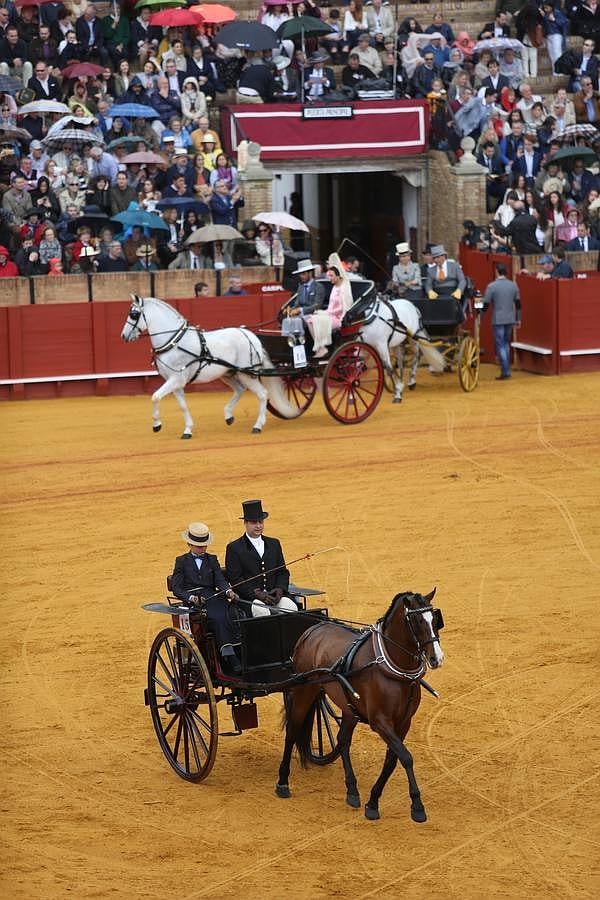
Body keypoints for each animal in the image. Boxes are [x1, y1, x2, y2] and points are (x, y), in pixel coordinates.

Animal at [120, 294, 298, 438]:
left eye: (134, 314)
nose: (123, 336)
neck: (173, 342)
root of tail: (249, 334)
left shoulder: (175, 379)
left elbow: (155, 396)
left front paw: (157, 425)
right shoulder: (176, 383)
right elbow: (183, 406)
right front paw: (187, 430)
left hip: (246, 374)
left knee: (262, 394)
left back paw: (257, 426)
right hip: (229, 374)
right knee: (240, 390)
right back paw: (228, 416)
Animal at [274, 592, 442, 824]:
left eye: (435, 620)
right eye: (416, 620)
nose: (437, 658)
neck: (395, 670)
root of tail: (312, 630)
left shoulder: (403, 723)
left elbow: (392, 760)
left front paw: (372, 802)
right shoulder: (380, 722)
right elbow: (406, 757)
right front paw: (417, 806)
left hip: (348, 707)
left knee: (343, 741)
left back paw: (352, 790)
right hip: (304, 692)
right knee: (292, 731)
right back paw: (282, 782)